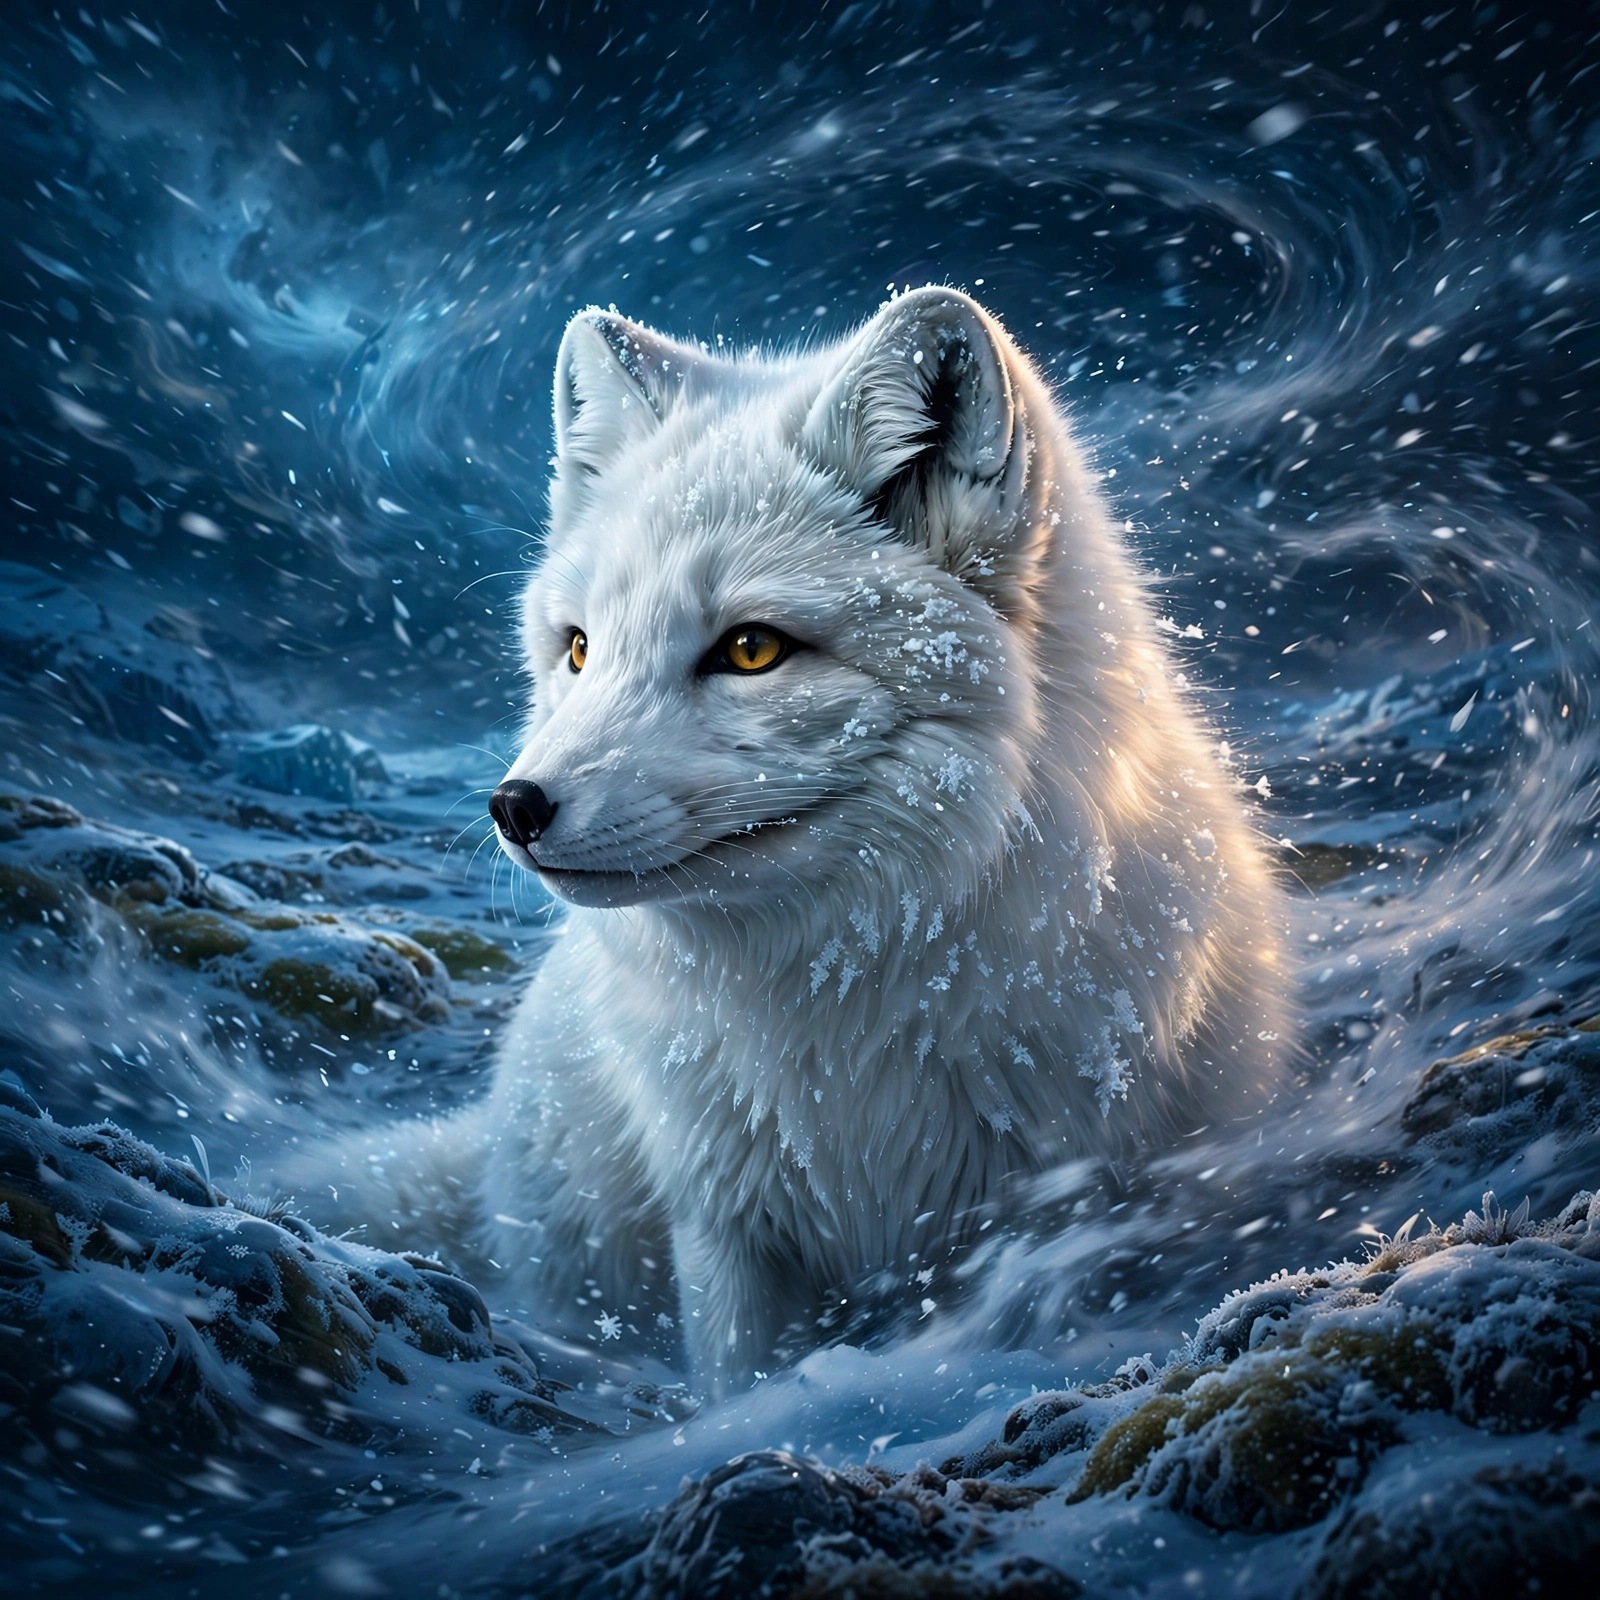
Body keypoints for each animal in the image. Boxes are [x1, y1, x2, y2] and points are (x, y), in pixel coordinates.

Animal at [309, 286, 1290, 1394]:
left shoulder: (1066, 1211)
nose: (515, 807)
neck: (844, 1022)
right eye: (579, 648)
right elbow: (738, 1383)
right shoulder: (725, 1229)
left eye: (750, 649)